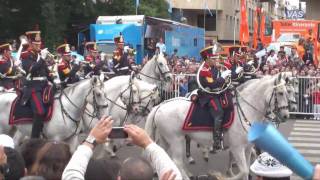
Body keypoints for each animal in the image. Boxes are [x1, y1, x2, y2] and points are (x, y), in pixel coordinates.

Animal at [145, 73, 290, 180]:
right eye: (280, 93)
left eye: (287, 92)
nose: (286, 115)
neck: (246, 109)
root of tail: (160, 105)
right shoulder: (237, 148)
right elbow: (243, 171)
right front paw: (225, 175)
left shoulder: (248, 148)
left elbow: (247, 169)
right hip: (176, 140)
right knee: (177, 161)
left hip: (166, 140)